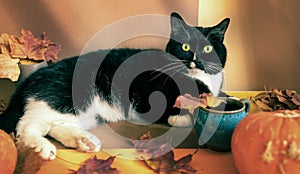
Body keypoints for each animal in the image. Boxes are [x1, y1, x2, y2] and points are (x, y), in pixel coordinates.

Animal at [0, 12, 230, 160]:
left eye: (208, 48)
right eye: (185, 47)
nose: (197, 60)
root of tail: (31, 78)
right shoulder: (147, 96)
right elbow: (172, 106)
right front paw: (181, 116)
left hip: (86, 112)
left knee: (54, 125)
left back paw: (84, 141)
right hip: (69, 96)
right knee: (25, 125)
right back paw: (43, 148)